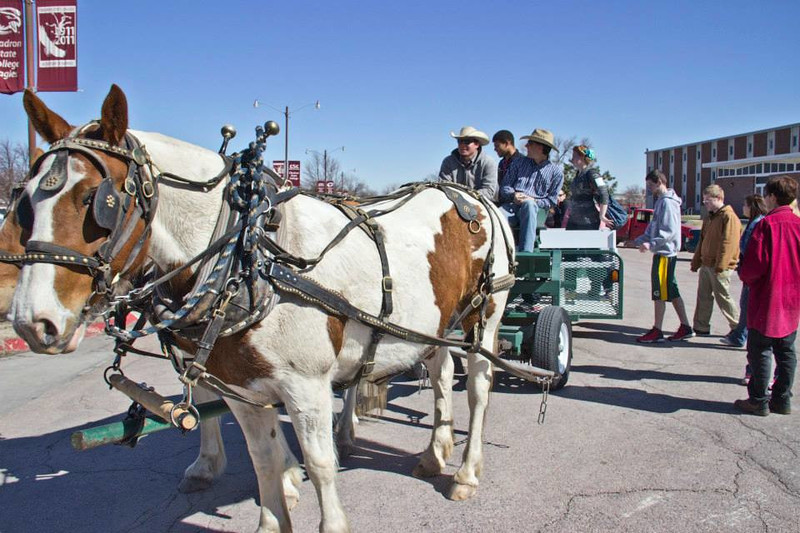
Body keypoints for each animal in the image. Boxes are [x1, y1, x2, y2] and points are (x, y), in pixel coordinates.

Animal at [14, 85, 520, 528]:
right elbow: (263, 460)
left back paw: (465, 472)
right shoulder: (241, 387)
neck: (247, 257)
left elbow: (320, 464)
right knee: (440, 370)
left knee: (477, 386)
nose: (30, 322)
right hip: (435, 322)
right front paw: (268, 490)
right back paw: (434, 453)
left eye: (97, 200)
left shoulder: (306, 386)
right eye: (24, 201)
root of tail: (472, 197)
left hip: (486, 316)